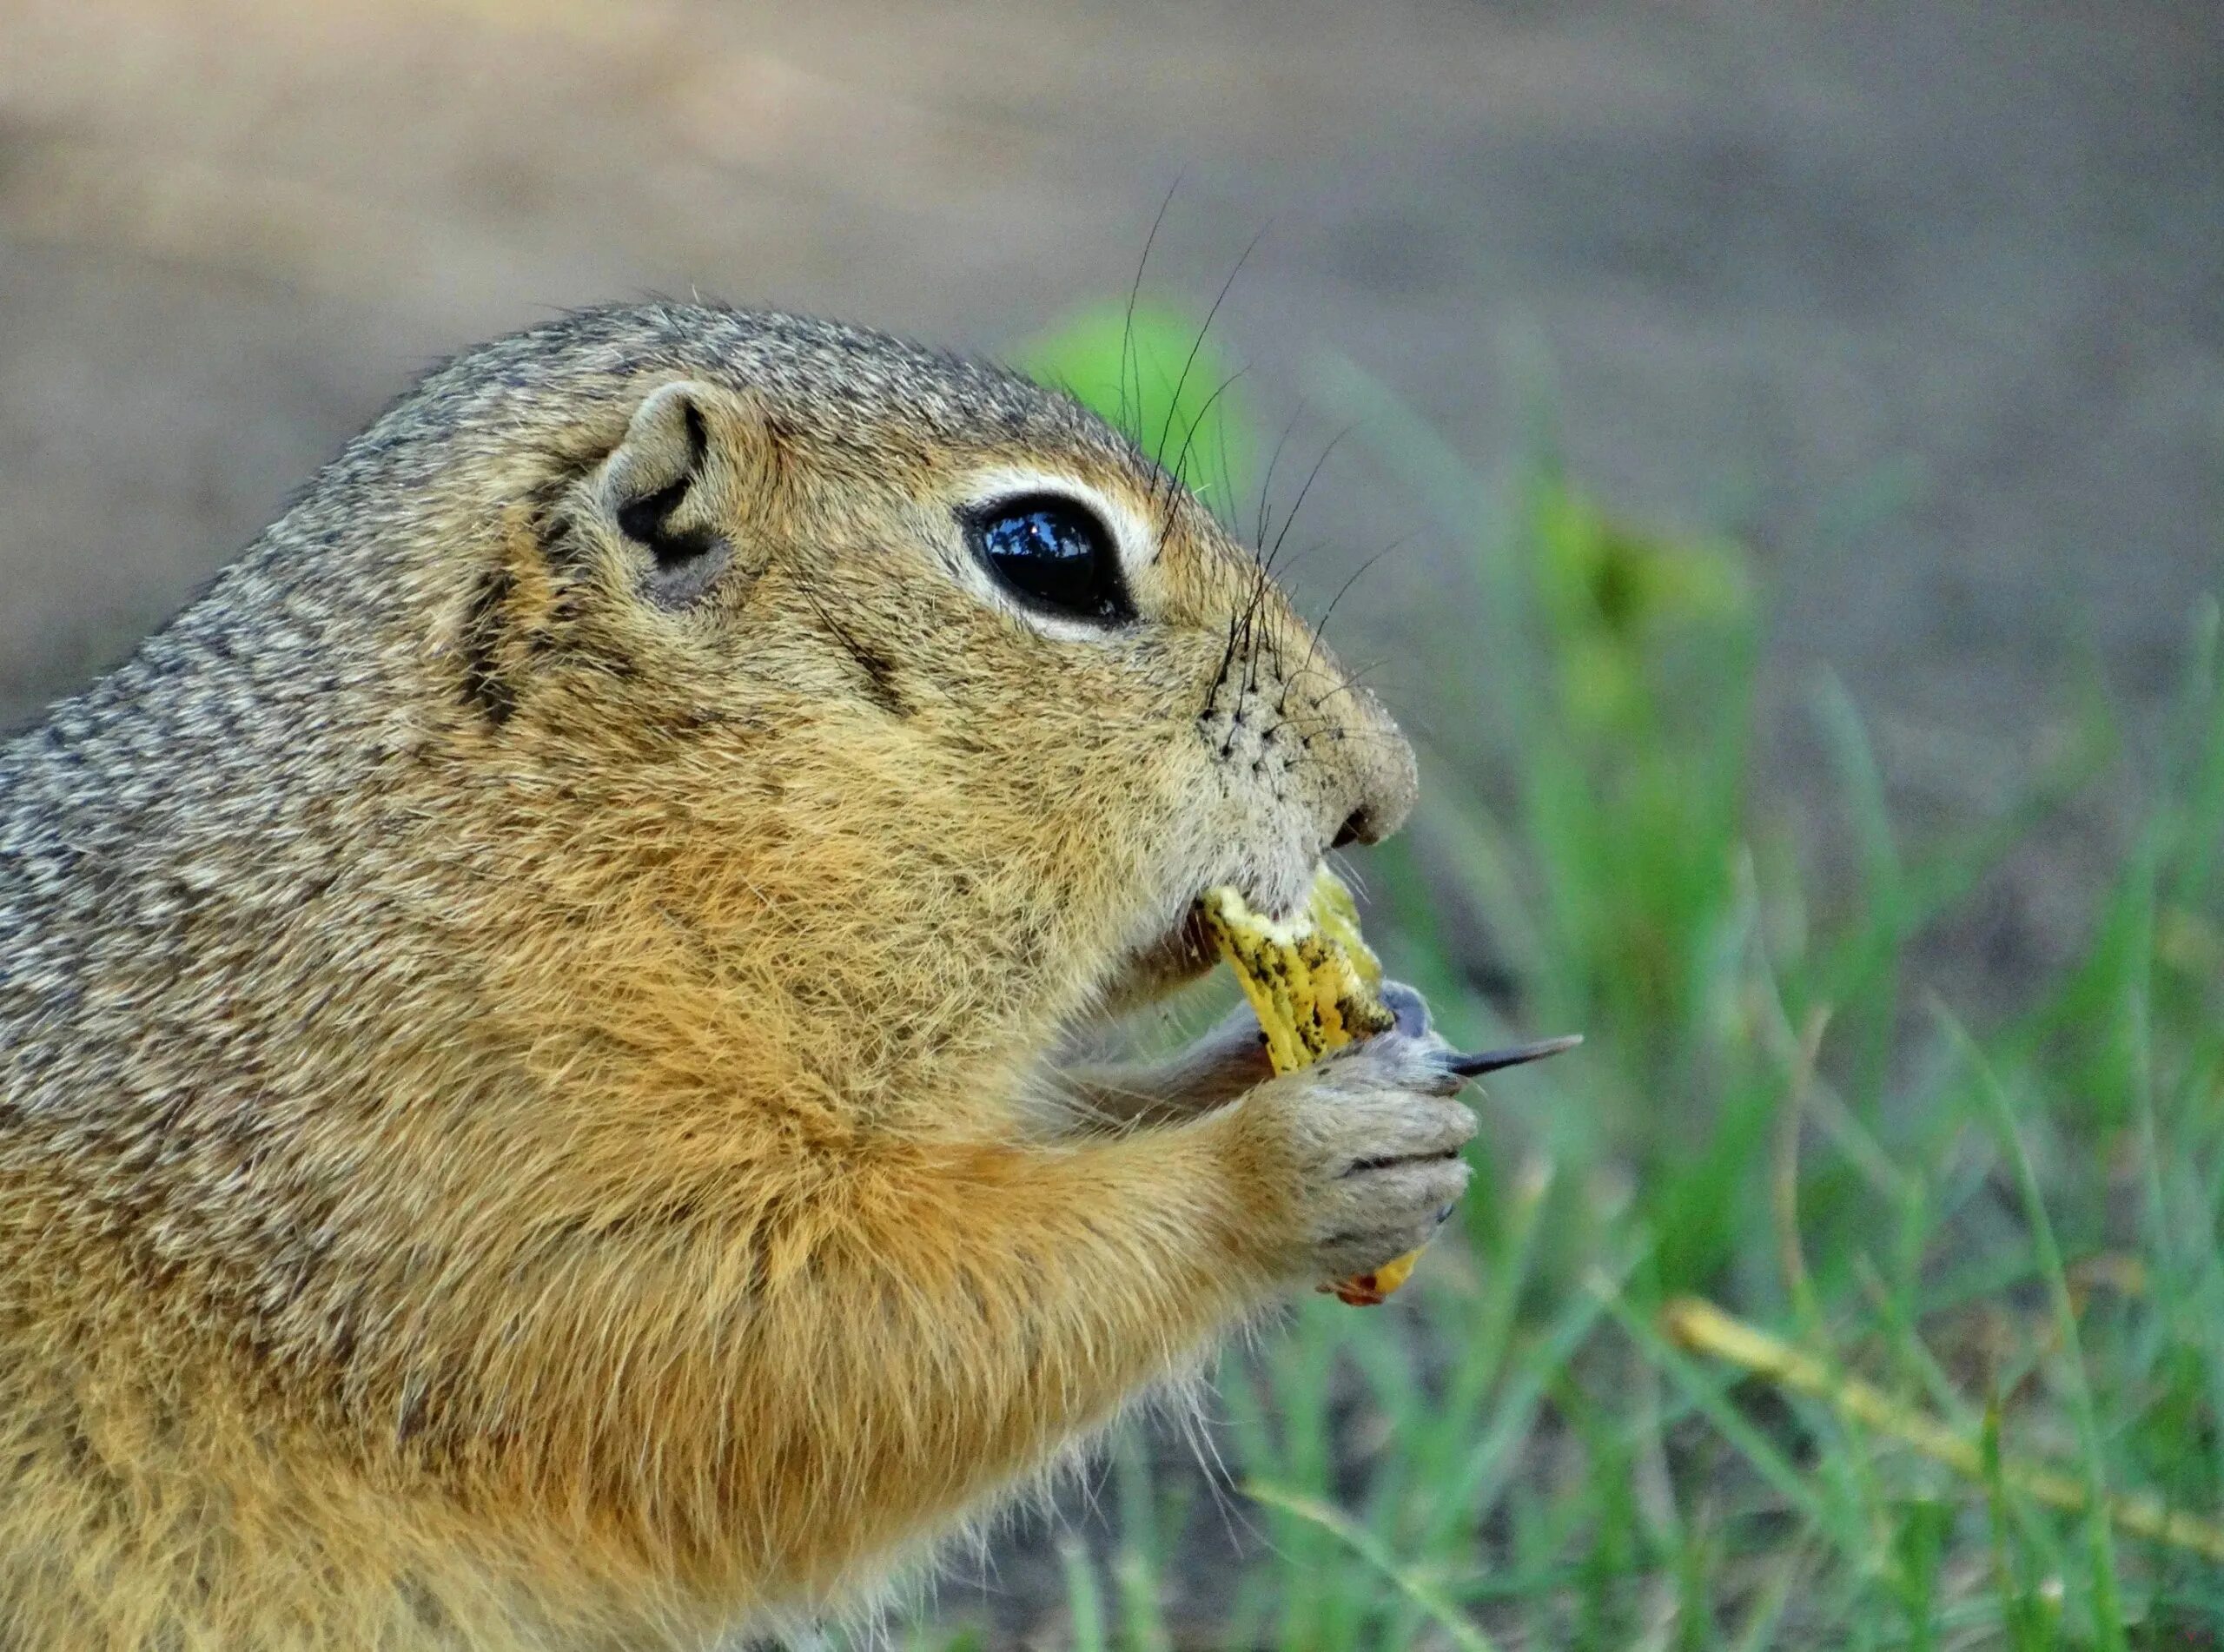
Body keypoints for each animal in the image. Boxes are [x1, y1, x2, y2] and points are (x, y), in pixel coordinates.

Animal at [0, 304, 1476, 1645]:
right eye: (1047, 553)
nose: (1385, 790)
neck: (541, 841)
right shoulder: (495, 1177)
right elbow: (807, 1356)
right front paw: (1291, 1159)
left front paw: (1326, 1058)